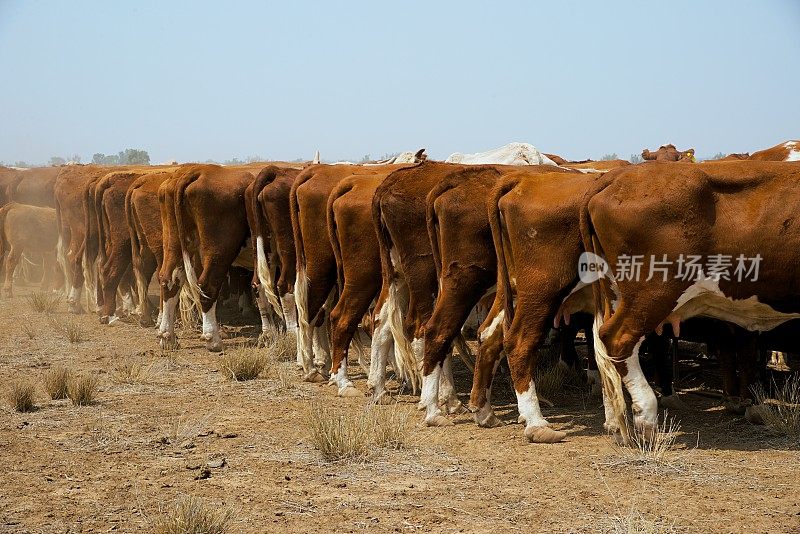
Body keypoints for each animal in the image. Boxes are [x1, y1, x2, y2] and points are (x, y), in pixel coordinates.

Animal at [580, 162, 800, 444]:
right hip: (653, 292)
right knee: (617, 339)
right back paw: (646, 421)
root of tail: (621, 174)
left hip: (615, 290)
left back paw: (617, 425)